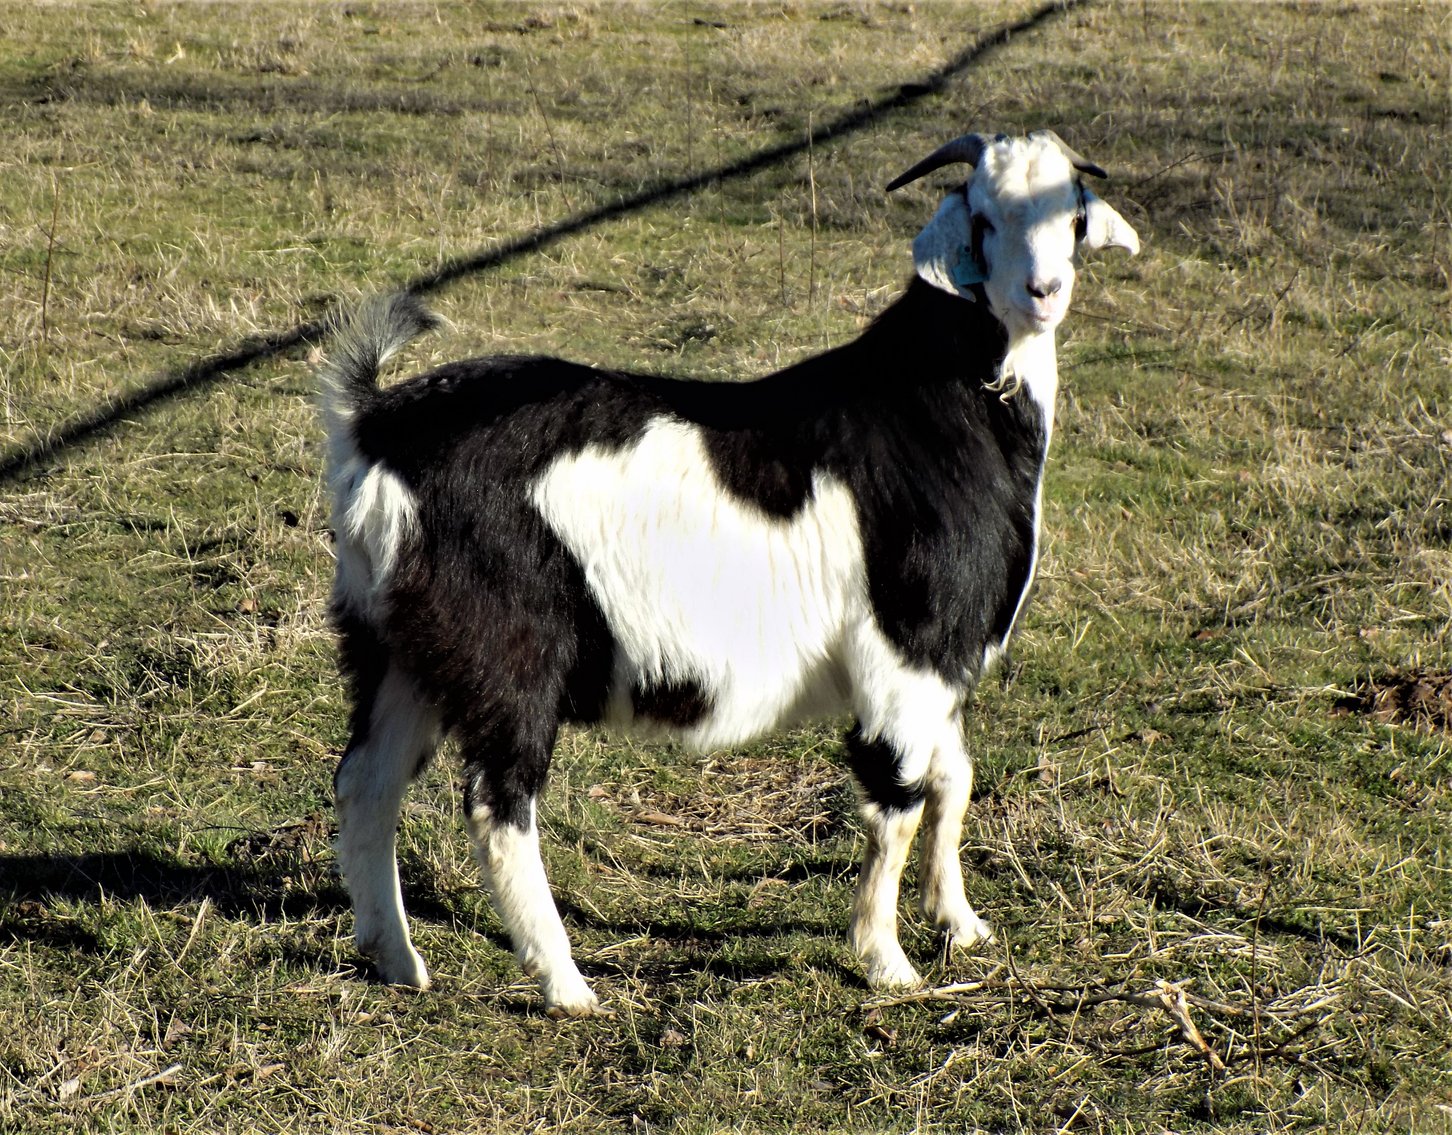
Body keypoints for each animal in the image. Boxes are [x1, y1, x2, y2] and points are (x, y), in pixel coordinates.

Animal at [321, 130, 1139, 1016]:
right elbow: (897, 801)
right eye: (983, 219)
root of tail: (373, 427)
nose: (1043, 292)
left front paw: (960, 922)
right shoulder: (906, 650)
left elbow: (952, 780)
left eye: (1076, 215)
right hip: (508, 651)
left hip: (396, 644)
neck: (948, 407)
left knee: (366, 781)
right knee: (496, 805)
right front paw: (887, 960)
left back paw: (395, 956)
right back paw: (565, 982)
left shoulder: (944, 657)